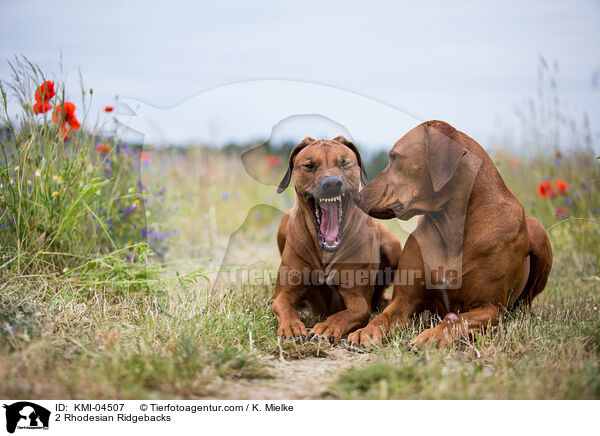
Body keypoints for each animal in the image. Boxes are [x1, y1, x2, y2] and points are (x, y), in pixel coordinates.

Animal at [274, 136, 400, 344]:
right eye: (309, 165)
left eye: (345, 163)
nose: (332, 183)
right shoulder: (286, 292)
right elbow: (283, 305)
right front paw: (291, 325)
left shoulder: (357, 300)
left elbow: (345, 313)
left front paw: (328, 326)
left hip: (391, 244)